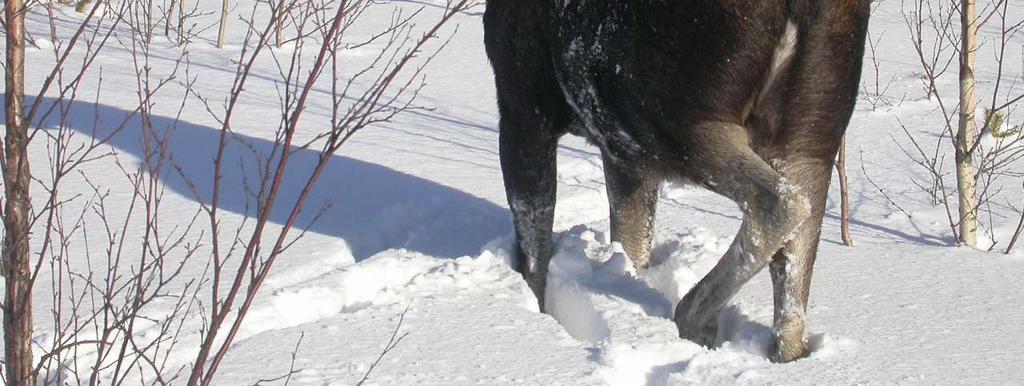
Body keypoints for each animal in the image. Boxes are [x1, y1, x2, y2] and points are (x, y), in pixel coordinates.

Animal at [483, 0, 868, 360]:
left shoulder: (524, 106)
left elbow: (533, 252)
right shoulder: (619, 153)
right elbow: (632, 243)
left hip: (667, 116)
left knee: (781, 202)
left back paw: (693, 316)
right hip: (809, 135)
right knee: (793, 293)